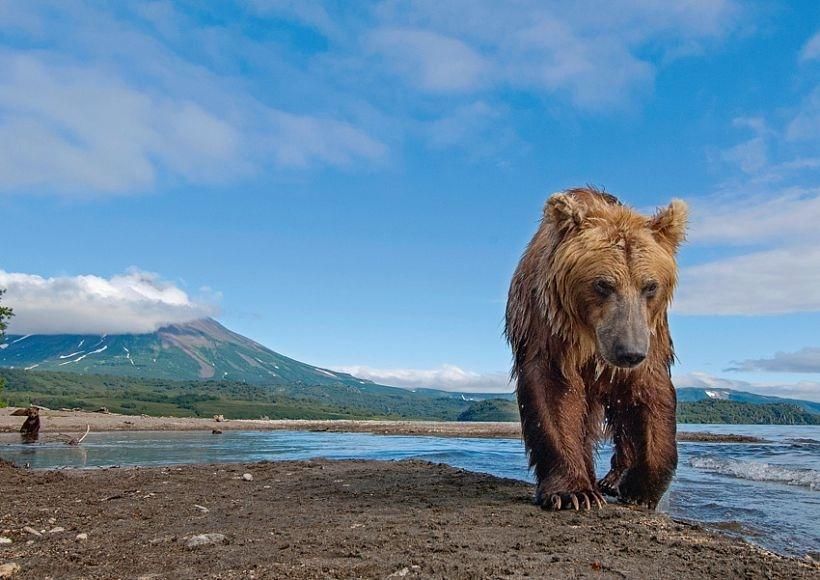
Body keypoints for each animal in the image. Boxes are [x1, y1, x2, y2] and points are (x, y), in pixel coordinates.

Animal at [506, 187, 684, 512]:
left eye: (650, 286)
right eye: (602, 284)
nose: (629, 352)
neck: (591, 339)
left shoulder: (651, 336)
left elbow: (650, 394)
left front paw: (640, 488)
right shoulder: (550, 328)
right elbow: (554, 392)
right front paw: (572, 492)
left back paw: (613, 479)